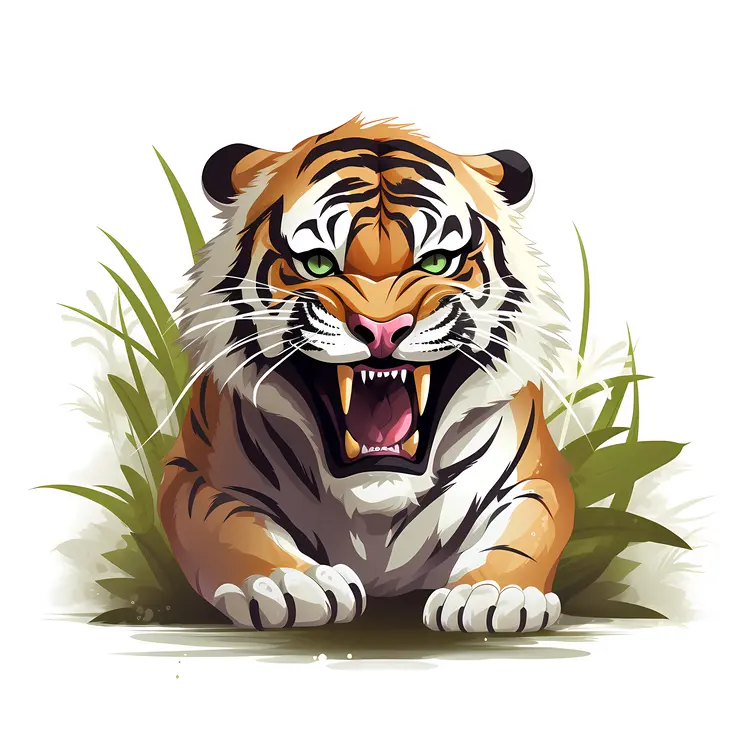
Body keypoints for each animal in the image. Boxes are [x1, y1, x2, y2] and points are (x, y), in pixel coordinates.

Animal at [158, 116, 575, 633]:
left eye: (437, 261)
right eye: (318, 262)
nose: (382, 329)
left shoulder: (537, 477)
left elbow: (524, 531)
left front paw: (495, 593)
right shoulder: (194, 474)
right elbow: (230, 525)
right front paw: (286, 583)